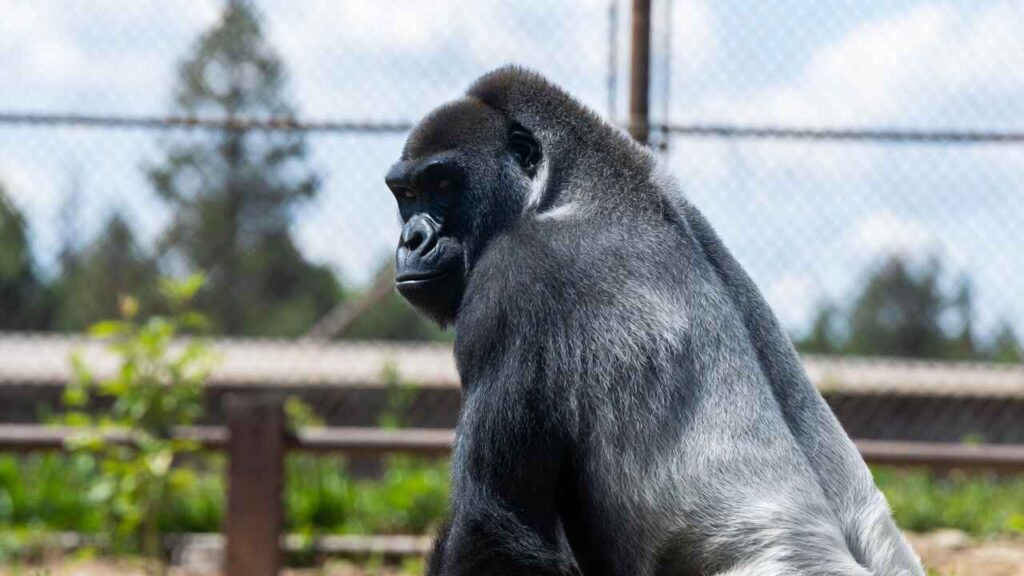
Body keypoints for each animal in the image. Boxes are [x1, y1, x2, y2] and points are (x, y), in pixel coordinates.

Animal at [385, 66, 924, 576]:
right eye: (405, 195)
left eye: (443, 184)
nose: (411, 240)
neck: (570, 184)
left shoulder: (512, 278)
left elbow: (492, 530)